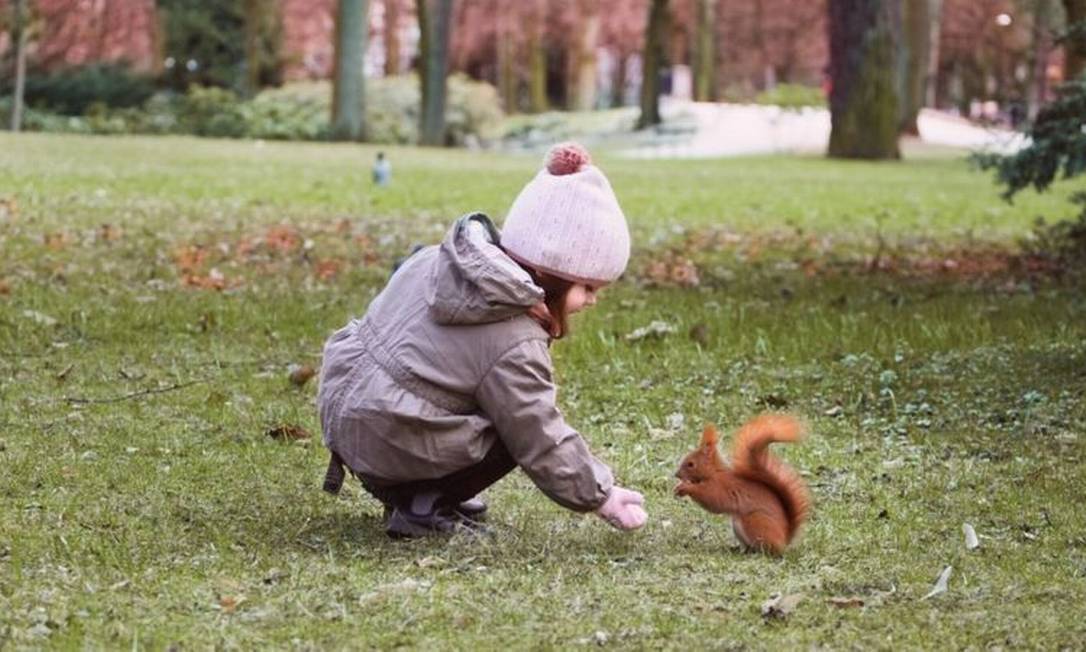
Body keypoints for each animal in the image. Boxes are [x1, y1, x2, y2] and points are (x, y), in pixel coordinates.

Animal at [673, 415, 812, 552]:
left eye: (691, 464)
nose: (676, 474)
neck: (714, 472)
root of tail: (785, 539)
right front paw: (678, 487)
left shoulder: (721, 486)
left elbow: (711, 499)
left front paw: (687, 488)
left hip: (754, 521)